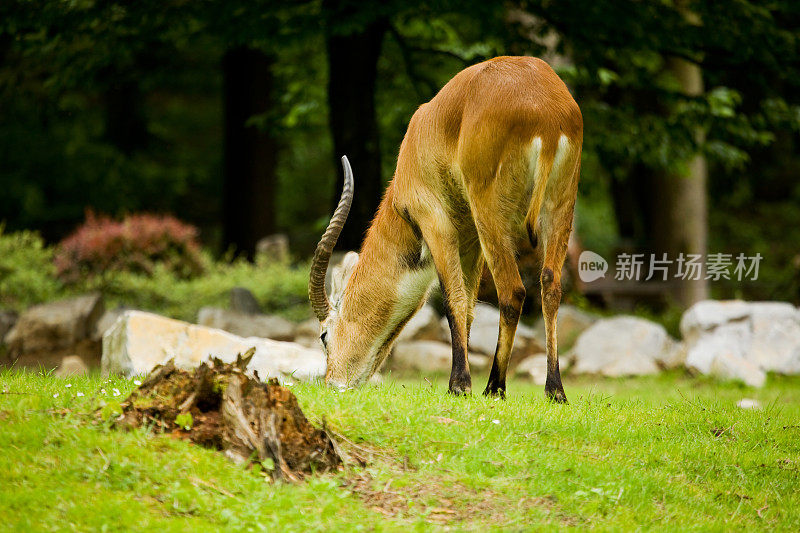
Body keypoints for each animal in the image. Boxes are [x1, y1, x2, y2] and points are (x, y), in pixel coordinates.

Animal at [308, 56, 580, 402]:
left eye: (324, 335)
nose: (333, 384)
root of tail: (545, 109)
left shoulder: (436, 223)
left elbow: (454, 301)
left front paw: (459, 384)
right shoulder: (471, 241)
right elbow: (470, 307)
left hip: (491, 213)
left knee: (513, 291)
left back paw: (494, 387)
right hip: (559, 208)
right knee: (551, 285)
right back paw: (554, 390)